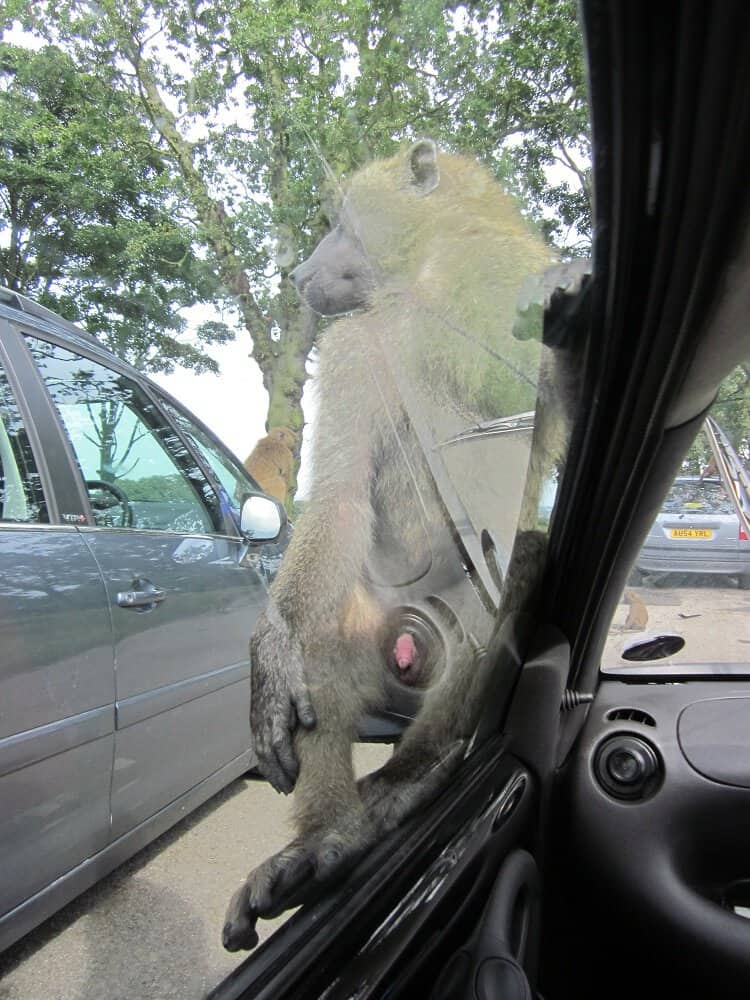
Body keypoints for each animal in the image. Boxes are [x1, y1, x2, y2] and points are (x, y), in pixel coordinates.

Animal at [222, 140, 588, 951]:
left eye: (342, 221)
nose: (301, 273)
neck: (421, 273)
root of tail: (408, 650)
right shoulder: (356, 340)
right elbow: (341, 500)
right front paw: (273, 644)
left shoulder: (491, 275)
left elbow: (528, 404)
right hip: (374, 619)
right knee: (322, 644)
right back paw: (326, 845)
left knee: (516, 573)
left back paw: (412, 780)